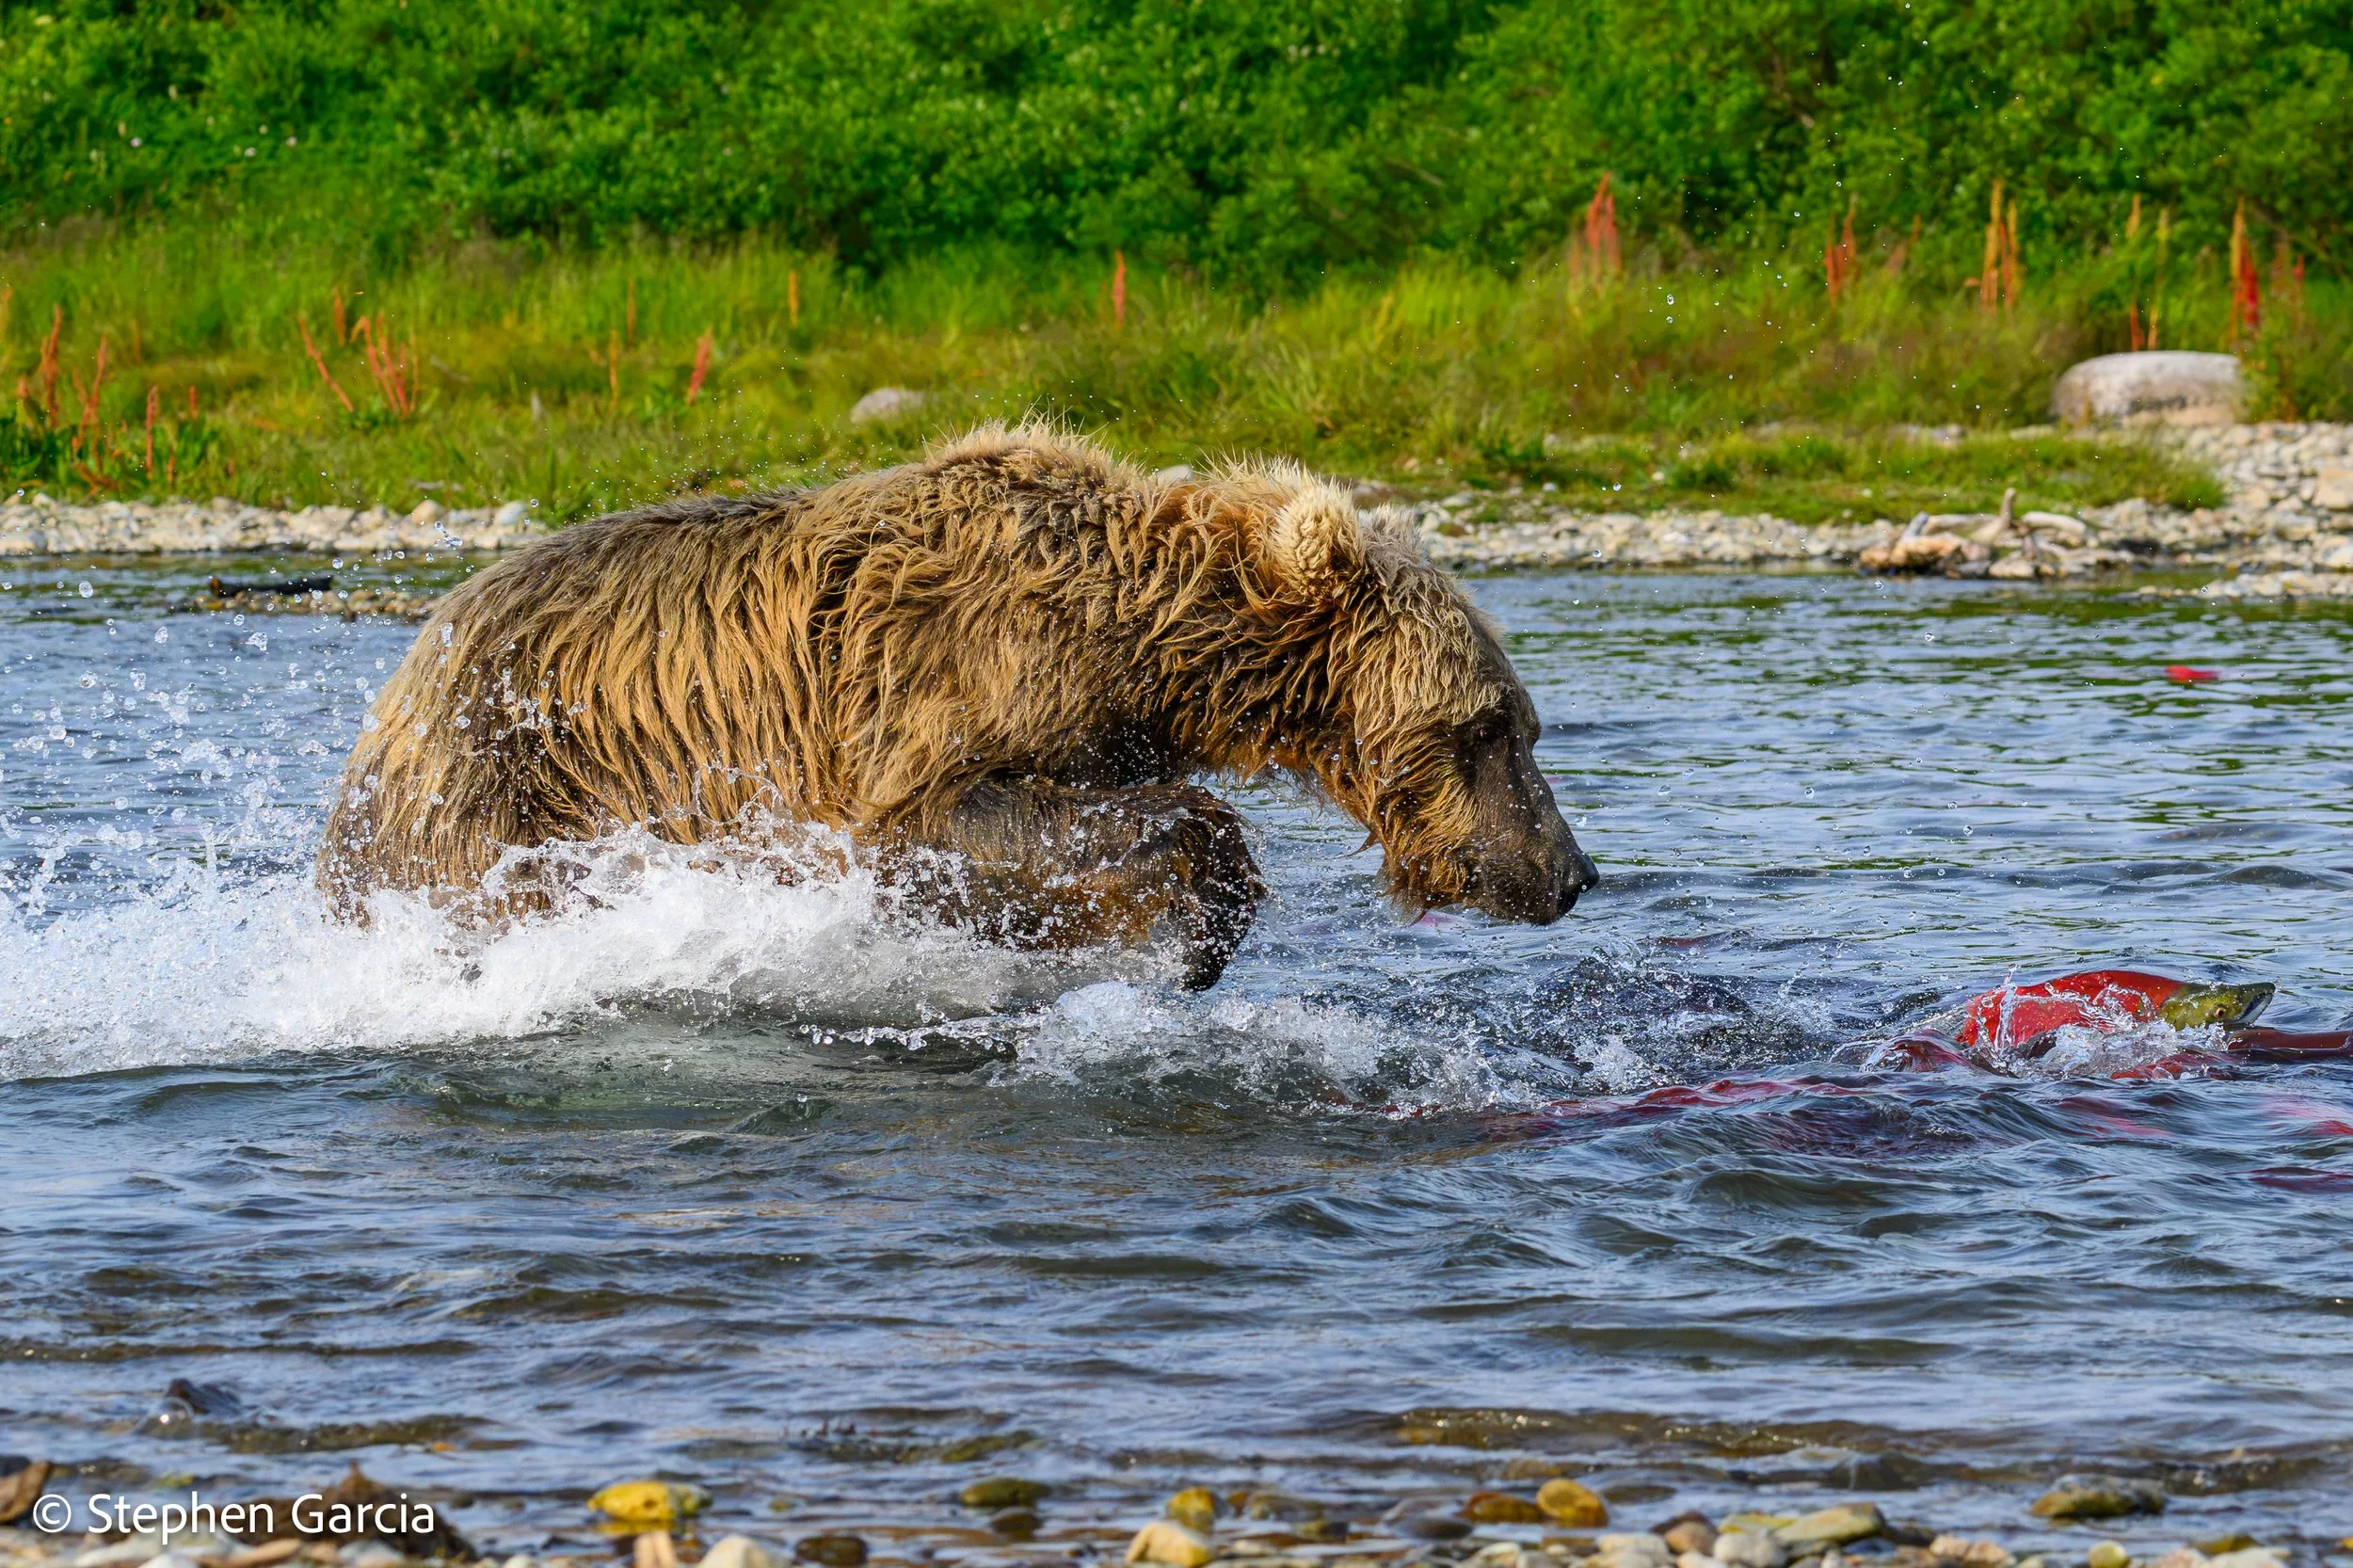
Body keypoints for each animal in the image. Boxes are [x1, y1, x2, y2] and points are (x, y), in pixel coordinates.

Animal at [317, 425, 1596, 987]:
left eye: (1522, 728)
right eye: (1488, 728)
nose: (1570, 871)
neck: (1143, 642)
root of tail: (402, 676)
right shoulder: (925, 696)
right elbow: (949, 823)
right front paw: (1190, 923)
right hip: (504, 784)